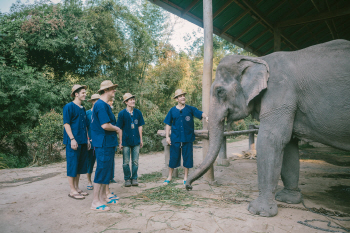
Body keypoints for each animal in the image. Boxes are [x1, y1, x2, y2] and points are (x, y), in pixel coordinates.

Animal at [186, 39, 350, 217]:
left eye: (220, 91)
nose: (188, 186)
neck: (257, 60)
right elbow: (289, 144)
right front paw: (288, 199)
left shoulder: (279, 92)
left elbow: (272, 139)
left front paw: (258, 211)